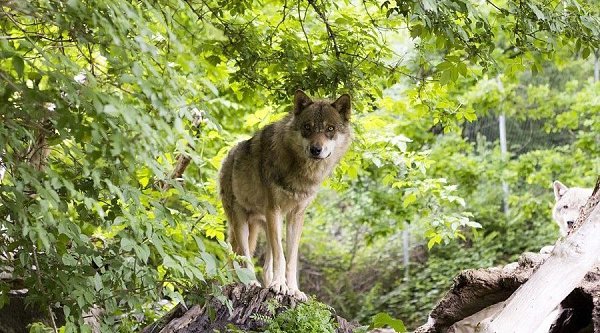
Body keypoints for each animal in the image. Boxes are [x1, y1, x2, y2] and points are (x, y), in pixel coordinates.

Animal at [219, 89, 352, 300]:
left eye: (330, 129)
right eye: (307, 127)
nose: (316, 149)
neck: (301, 172)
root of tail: (228, 156)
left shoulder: (295, 216)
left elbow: (290, 259)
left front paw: (293, 290)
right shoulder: (274, 210)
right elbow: (281, 256)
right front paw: (280, 286)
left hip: (264, 225)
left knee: (265, 265)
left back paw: (266, 283)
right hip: (242, 223)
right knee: (241, 255)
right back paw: (250, 282)